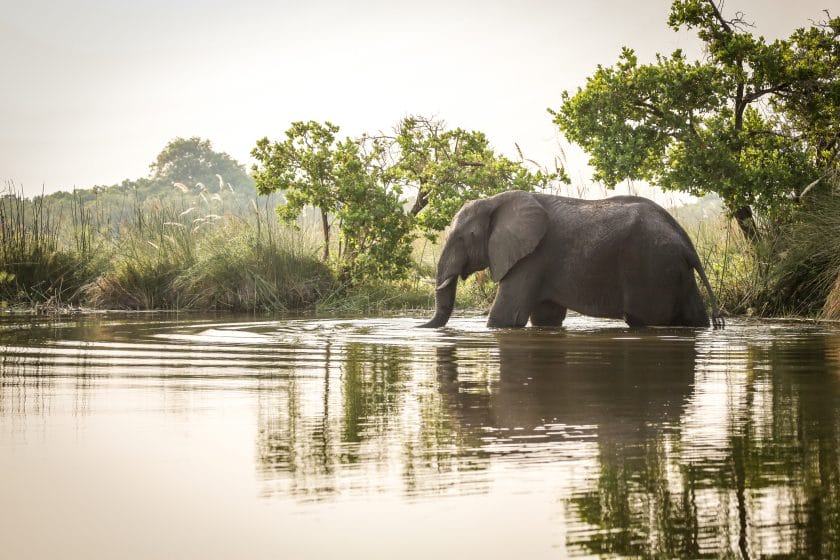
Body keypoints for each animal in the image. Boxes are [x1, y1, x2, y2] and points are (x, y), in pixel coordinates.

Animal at [424, 190, 724, 328]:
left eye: (463, 237)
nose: (421, 327)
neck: (496, 200)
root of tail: (687, 244)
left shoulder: (531, 258)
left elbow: (505, 318)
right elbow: (545, 319)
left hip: (651, 267)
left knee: (646, 318)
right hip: (676, 272)